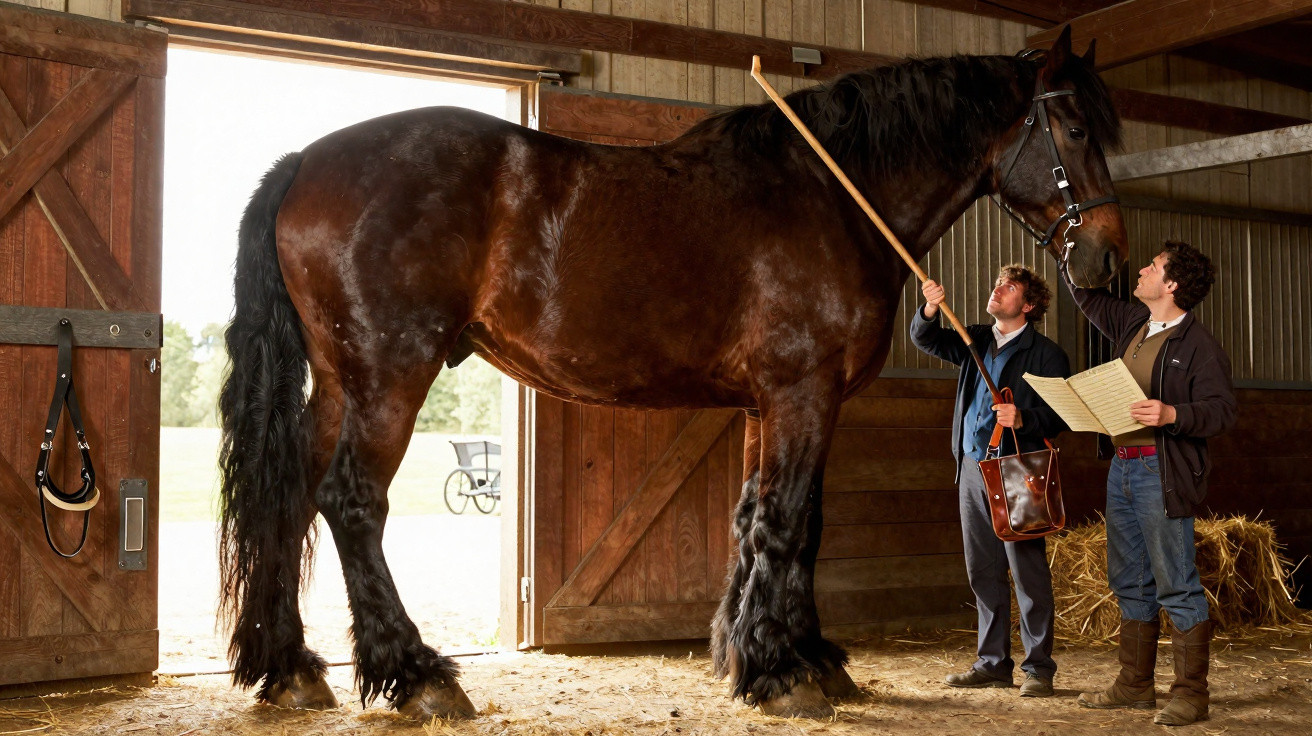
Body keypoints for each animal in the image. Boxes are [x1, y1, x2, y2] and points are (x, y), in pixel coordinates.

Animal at [217, 26, 1126, 720]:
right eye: (1077, 131)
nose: (1108, 259)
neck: (832, 195)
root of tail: (305, 163)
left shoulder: (770, 405)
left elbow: (765, 519)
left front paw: (778, 654)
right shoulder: (802, 395)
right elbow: (788, 524)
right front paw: (783, 672)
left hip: (340, 383)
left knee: (293, 497)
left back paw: (291, 670)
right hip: (390, 376)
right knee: (351, 503)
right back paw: (416, 675)